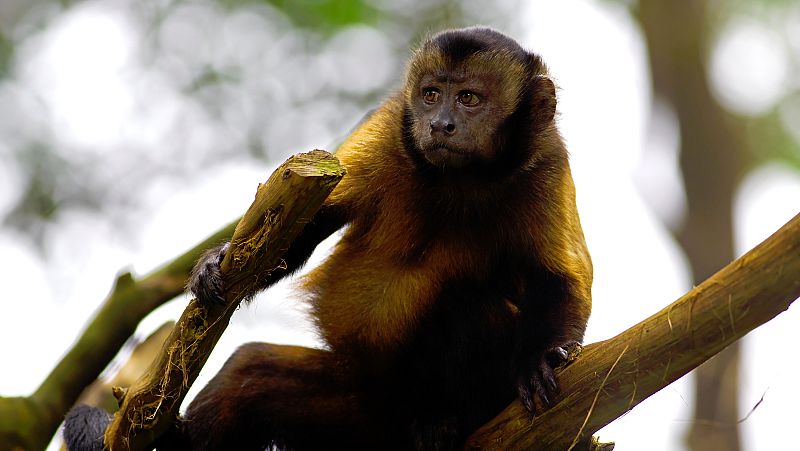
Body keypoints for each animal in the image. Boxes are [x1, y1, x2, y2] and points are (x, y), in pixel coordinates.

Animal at [63, 26, 592, 451]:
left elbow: (562, 278)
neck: (462, 179)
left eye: (468, 99)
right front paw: (217, 261)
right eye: (430, 94)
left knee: (469, 306)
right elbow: (305, 223)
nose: (440, 123)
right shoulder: (389, 127)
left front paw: (541, 359)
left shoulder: (546, 161)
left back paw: (446, 422)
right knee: (247, 372)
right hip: (355, 412)